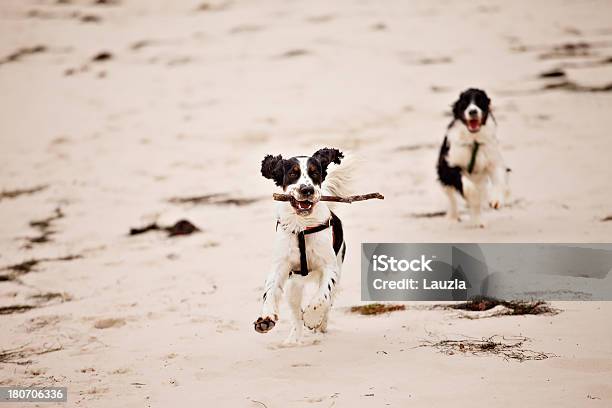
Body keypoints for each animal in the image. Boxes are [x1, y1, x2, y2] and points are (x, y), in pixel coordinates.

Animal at [253, 148, 352, 342]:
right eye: (293, 173)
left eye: (315, 173)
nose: (307, 190)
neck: (302, 226)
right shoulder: (280, 265)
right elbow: (270, 291)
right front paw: (265, 319)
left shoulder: (330, 267)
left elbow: (322, 296)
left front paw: (313, 318)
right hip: (294, 286)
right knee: (295, 314)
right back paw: (293, 339)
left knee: (329, 301)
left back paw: (321, 325)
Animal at [438, 88, 510, 228]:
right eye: (464, 102)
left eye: (480, 101)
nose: (472, 111)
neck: (473, 139)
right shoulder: (448, 164)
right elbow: (464, 182)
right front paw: (472, 194)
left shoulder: (493, 161)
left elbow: (499, 180)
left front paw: (496, 200)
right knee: (451, 198)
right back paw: (453, 217)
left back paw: (478, 221)